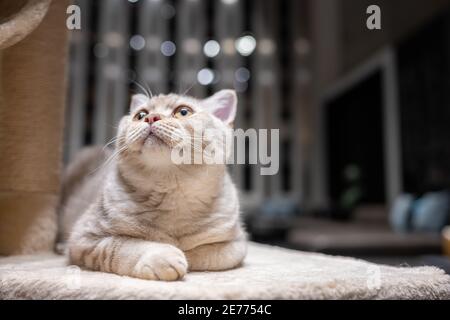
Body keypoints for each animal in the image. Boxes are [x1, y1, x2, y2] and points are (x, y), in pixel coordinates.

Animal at [60, 89, 248, 280]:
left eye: (183, 112)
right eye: (141, 115)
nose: (151, 117)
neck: (172, 192)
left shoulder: (237, 243)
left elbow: (208, 254)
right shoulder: (84, 237)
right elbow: (123, 245)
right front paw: (163, 255)